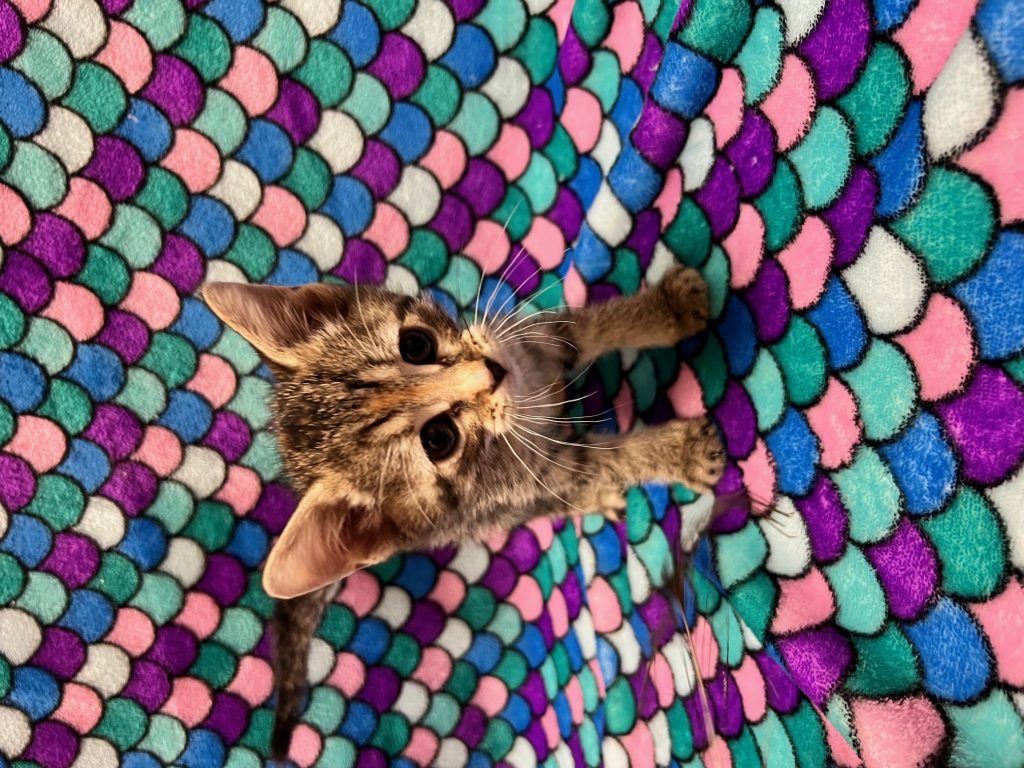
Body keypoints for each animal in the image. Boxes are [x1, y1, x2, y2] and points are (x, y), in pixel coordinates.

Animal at [202, 265, 726, 761]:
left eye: (416, 344)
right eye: (439, 439)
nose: (492, 370)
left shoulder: (527, 338)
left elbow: (582, 330)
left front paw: (667, 310)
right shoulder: (543, 479)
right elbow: (609, 460)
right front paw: (678, 451)